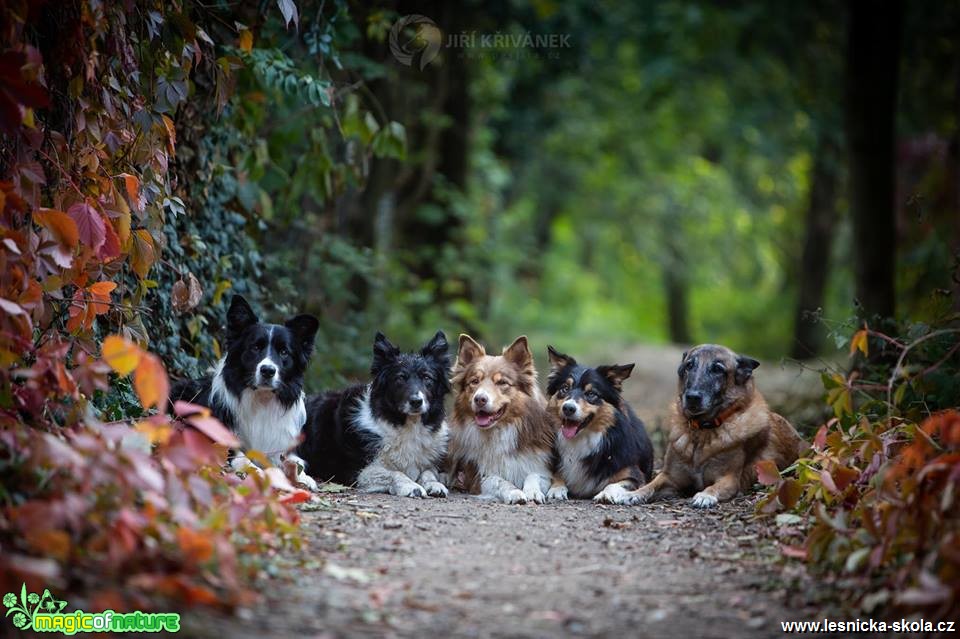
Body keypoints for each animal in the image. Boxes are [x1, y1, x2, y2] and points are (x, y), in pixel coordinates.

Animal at [171, 298, 320, 488]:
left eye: (284, 352)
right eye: (255, 347)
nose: (268, 370)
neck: (262, 399)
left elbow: (295, 461)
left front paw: (304, 477)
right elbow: (243, 459)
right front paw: (259, 473)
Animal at [296, 332, 450, 498]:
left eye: (427, 378)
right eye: (400, 378)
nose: (416, 401)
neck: (406, 425)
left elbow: (429, 471)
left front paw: (434, 484)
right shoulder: (358, 472)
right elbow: (395, 473)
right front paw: (411, 486)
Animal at [446, 336, 552, 504]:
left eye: (502, 382)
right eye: (474, 381)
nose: (479, 399)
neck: (501, 430)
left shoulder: (540, 466)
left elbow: (533, 475)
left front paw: (533, 491)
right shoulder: (479, 476)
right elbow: (500, 481)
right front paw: (515, 492)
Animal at [544, 348, 656, 508]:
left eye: (591, 394)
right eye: (564, 389)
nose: (568, 408)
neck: (581, 439)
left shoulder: (634, 475)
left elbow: (613, 484)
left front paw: (606, 494)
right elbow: (557, 475)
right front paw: (557, 489)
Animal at [628, 344, 808, 510]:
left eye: (717, 369)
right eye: (689, 366)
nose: (692, 397)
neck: (701, 431)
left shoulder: (729, 479)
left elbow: (713, 487)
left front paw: (705, 496)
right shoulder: (670, 477)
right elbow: (650, 485)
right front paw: (633, 493)